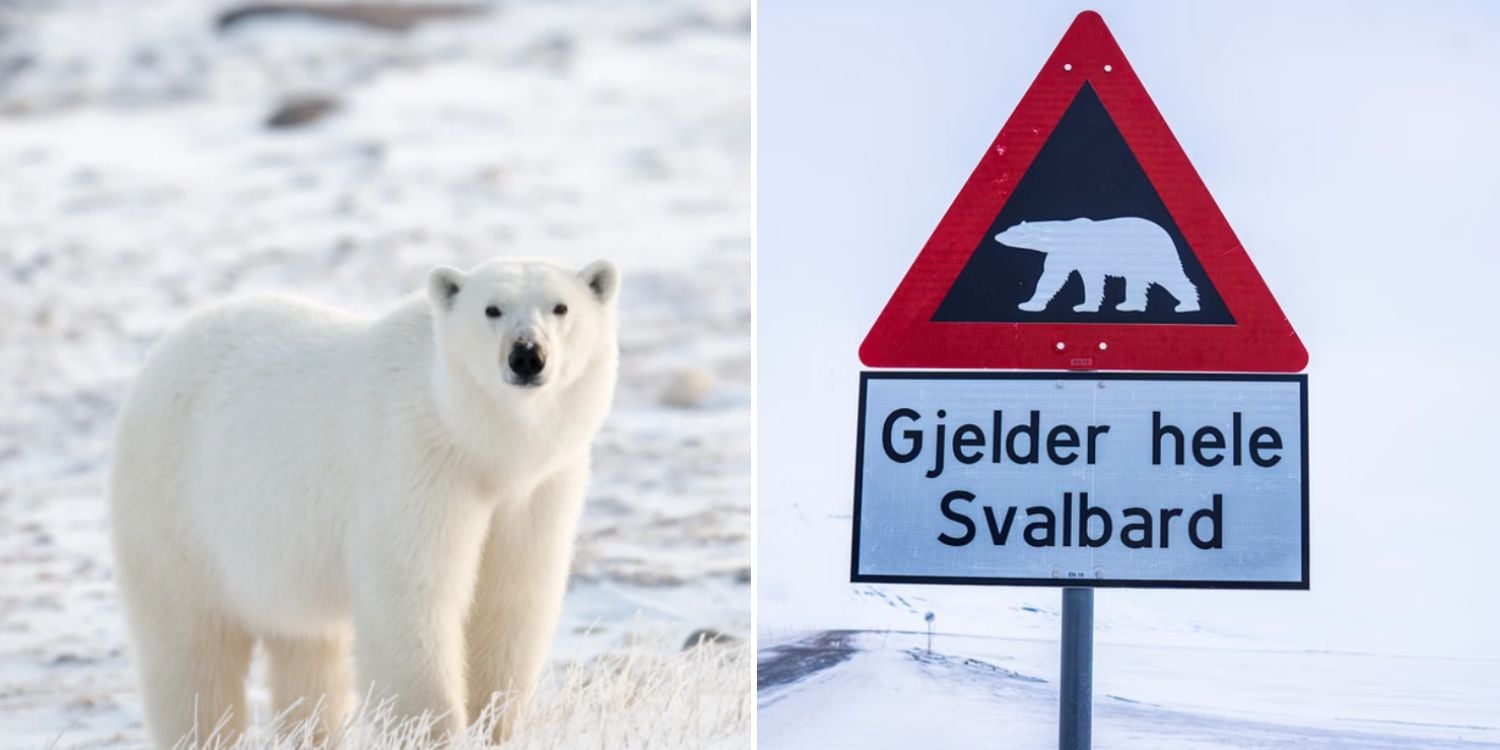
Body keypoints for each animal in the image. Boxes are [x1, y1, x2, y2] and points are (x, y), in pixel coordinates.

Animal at [108, 257, 620, 747]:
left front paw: (495, 725)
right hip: (175, 513)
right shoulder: (415, 464)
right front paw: (432, 732)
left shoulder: (536, 489)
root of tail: (163, 350)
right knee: (191, 653)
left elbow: (511, 600)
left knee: (307, 654)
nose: (527, 355)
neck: (477, 442)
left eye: (560, 307)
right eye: (491, 308)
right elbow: (413, 597)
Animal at [993, 217, 1200, 314]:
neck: (1061, 233)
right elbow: (1051, 277)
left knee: (1172, 276)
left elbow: (1090, 279)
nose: (997, 235)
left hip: (1154, 254)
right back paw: (1127, 305)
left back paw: (1187, 305)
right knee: (1136, 282)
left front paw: (1083, 307)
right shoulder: (1061, 254)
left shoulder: (1086, 252)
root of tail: (1166, 234)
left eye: (1012, 231)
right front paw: (1029, 304)